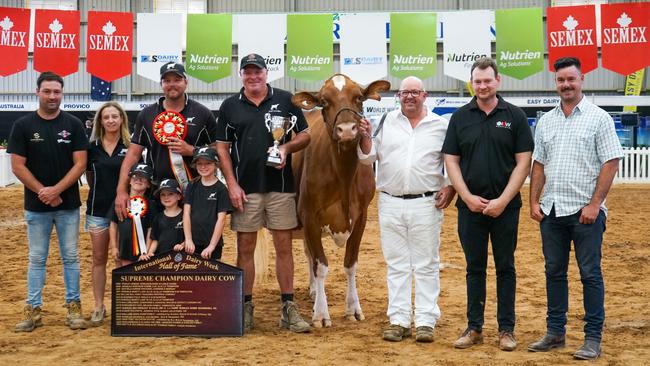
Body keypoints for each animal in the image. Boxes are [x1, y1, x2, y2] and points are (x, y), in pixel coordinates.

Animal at [292, 73, 388, 326]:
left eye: (359, 97)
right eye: (324, 101)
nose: (346, 129)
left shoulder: (362, 216)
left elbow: (350, 264)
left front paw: (353, 308)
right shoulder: (309, 215)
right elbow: (321, 265)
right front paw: (321, 314)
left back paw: (313, 291)